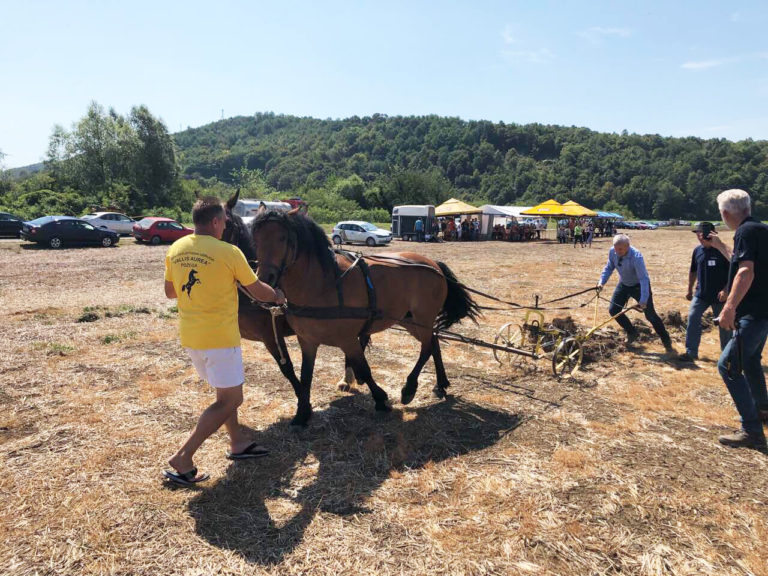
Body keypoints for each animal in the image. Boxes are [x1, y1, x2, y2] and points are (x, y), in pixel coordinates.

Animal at [252, 209, 480, 426]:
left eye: (283, 238)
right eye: (256, 238)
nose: (265, 279)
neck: (325, 284)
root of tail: (434, 264)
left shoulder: (348, 340)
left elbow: (365, 369)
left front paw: (380, 399)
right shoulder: (307, 341)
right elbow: (305, 376)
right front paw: (301, 414)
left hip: (422, 319)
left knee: (426, 348)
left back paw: (409, 388)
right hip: (410, 320)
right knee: (433, 343)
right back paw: (440, 384)